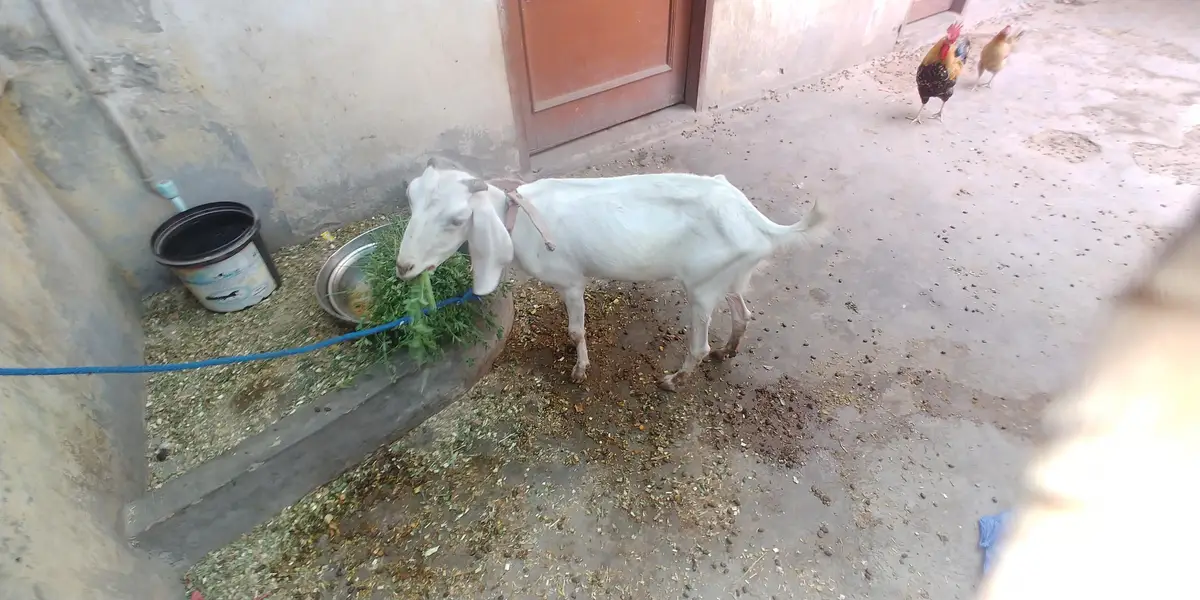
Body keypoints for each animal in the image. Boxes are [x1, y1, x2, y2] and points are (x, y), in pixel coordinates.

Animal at [395, 159, 828, 391]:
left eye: (457, 220)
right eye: (411, 200)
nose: (404, 267)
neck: (517, 222)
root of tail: (754, 220)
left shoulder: (570, 279)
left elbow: (576, 330)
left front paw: (579, 369)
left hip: (703, 286)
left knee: (700, 344)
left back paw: (675, 379)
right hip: (732, 275)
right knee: (742, 313)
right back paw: (729, 350)